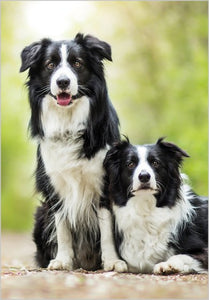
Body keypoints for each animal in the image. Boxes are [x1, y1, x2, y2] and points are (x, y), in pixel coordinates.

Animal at [19, 33, 121, 272]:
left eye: (77, 63)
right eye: (50, 65)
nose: (63, 82)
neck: (68, 123)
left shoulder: (104, 186)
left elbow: (107, 232)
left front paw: (113, 261)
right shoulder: (55, 187)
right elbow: (62, 227)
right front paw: (63, 260)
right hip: (42, 213)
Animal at [100, 138, 208, 274]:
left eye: (156, 163)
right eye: (130, 164)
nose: (144, 176)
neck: (147, 208)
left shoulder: (203, 251)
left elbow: (181, 255)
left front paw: (167, 265)